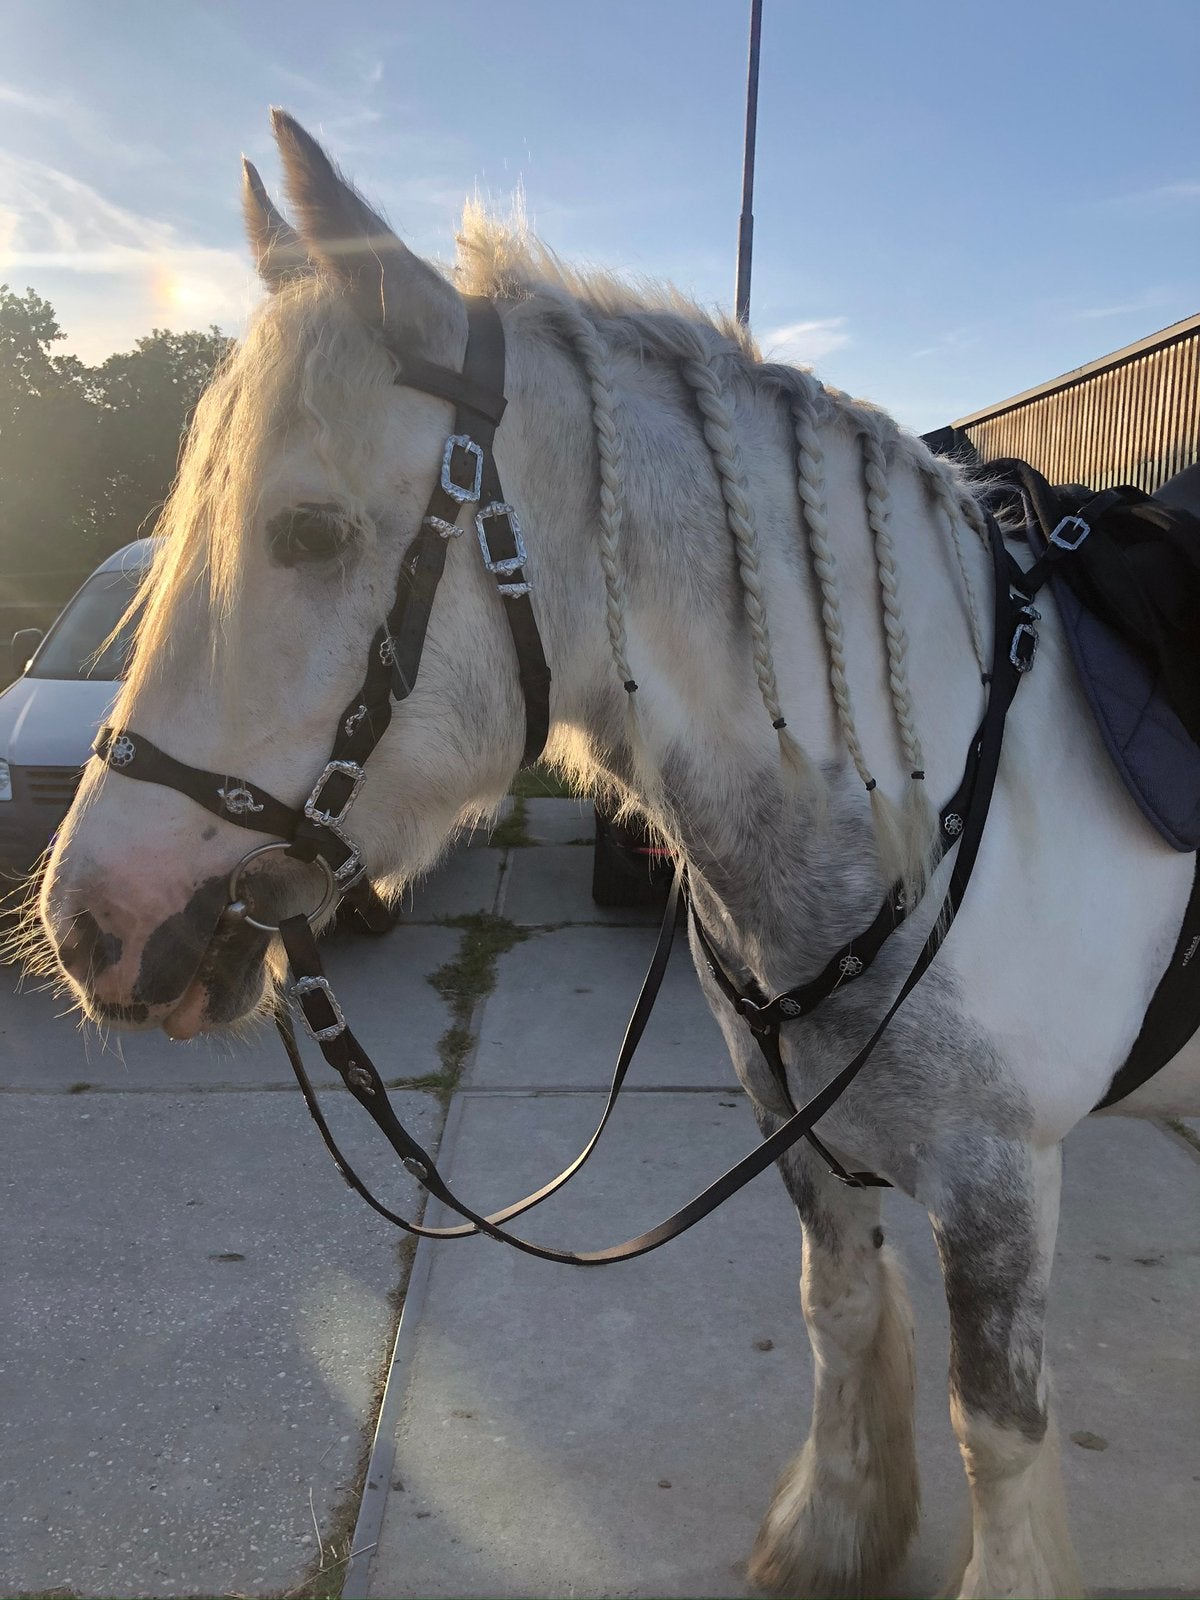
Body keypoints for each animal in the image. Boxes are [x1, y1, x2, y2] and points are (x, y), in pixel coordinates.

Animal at [35, 110, 1199, 1599]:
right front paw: (834, 1535)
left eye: (307, 531)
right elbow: (839, 1317)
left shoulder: (1002, 1183)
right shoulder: (798, 1133)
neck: (924, 799)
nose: (90, 923)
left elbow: (997, 1429)